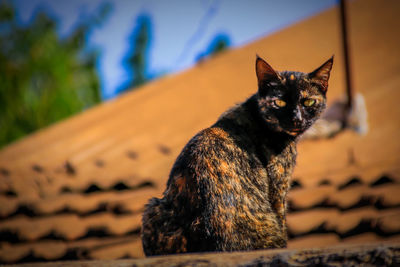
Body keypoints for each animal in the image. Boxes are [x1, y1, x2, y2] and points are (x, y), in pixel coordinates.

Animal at [142, 55, 332, 256]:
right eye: (279, 103)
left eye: (308, 102)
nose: (297, 119)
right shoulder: (279, 186)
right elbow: (282, 219)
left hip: (152, 209)